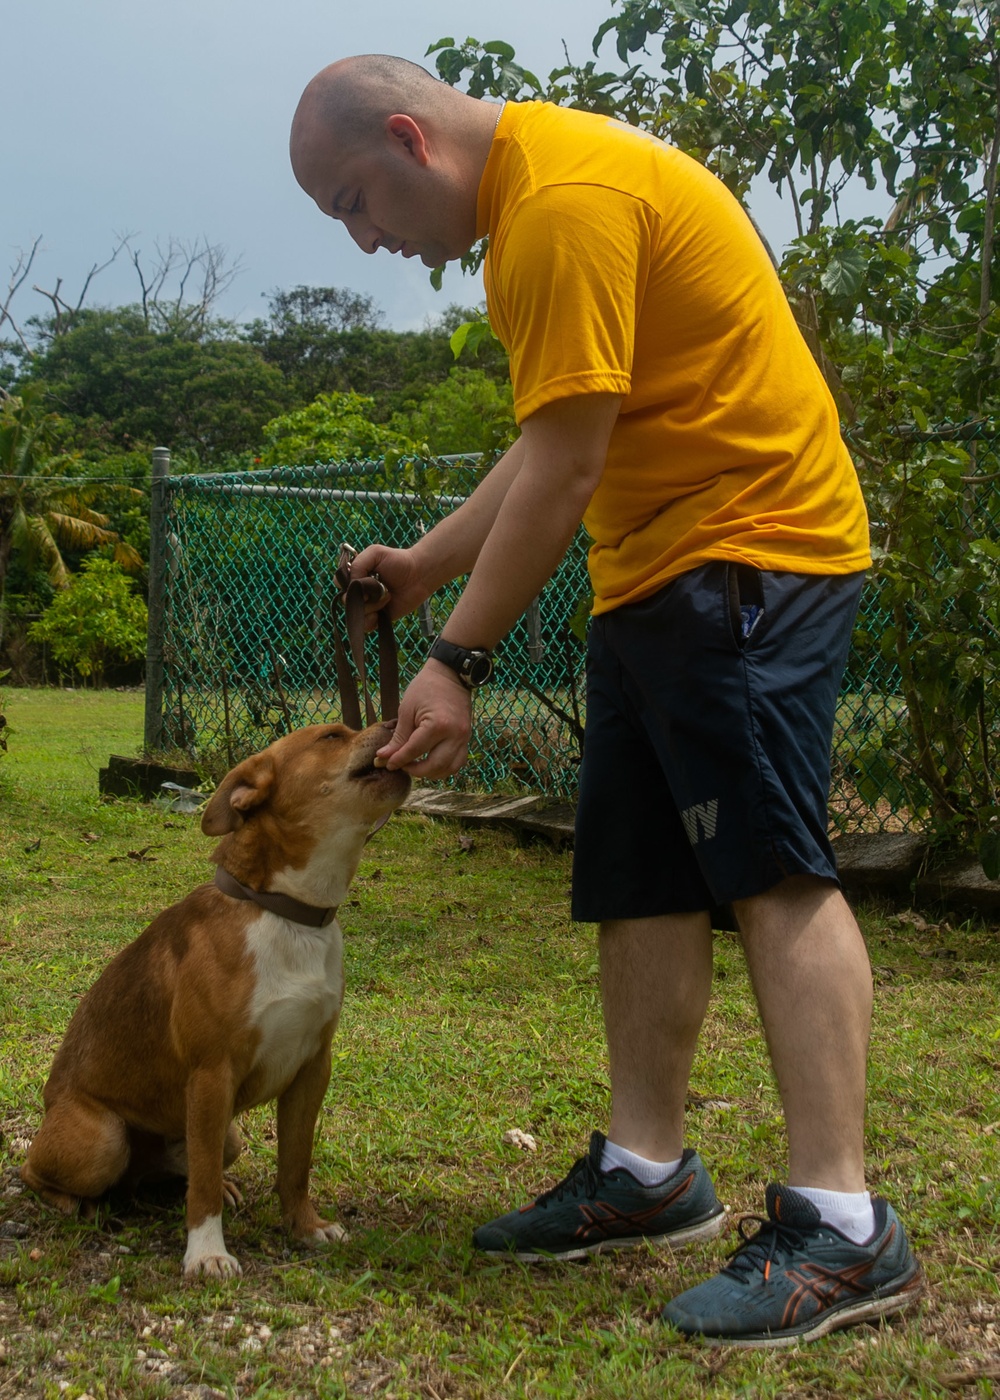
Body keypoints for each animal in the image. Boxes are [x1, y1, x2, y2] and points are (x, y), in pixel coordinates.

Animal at [20, 722, 408, 1282]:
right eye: (333, 735)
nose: (397, 722)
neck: (285, 913)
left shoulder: (312, 1070)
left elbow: (295, 1165)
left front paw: (305, 1227)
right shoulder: (211, 1074)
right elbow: (200, 1189)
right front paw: (206, 1253)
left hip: (229, 1136)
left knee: (178, 1174)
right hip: (104, 1140)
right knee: (37, 1170)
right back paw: (75, 1202)